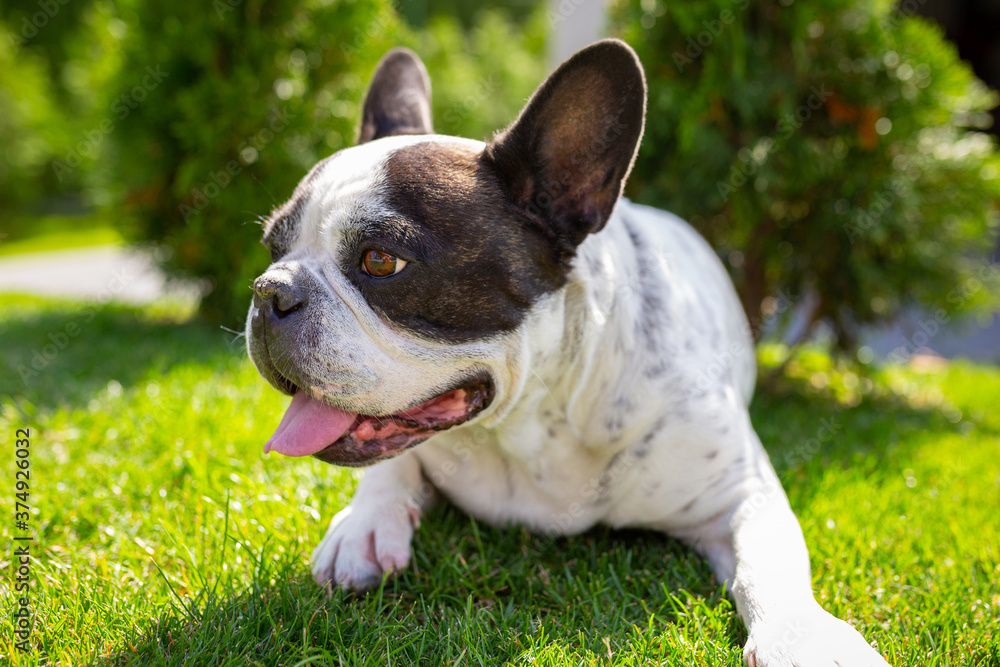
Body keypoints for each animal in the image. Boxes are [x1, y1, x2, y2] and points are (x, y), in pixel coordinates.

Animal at [248, 39, 892, 664]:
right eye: (273, 246)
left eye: (381, 261)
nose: (269, 290)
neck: (533, 422)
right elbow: (389, 468)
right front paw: (363, 526)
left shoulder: (740, 491)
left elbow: (771, 560)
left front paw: (805, 640)